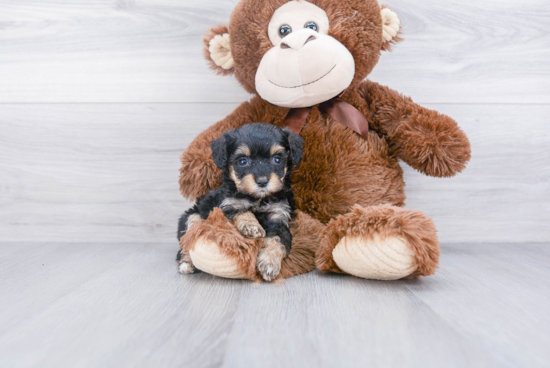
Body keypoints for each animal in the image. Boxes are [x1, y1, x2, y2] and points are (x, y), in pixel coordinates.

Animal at [177, 123, 304, 282]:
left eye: (277, 159)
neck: (257, 198)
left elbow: (277, 240)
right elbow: (242, 210)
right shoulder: (226, 206)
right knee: (187, 239)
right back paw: (186, 263)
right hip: (192, 216)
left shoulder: (279, 218)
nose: (262, 181)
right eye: (243, 161)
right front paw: (252, 226)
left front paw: (269, 263)